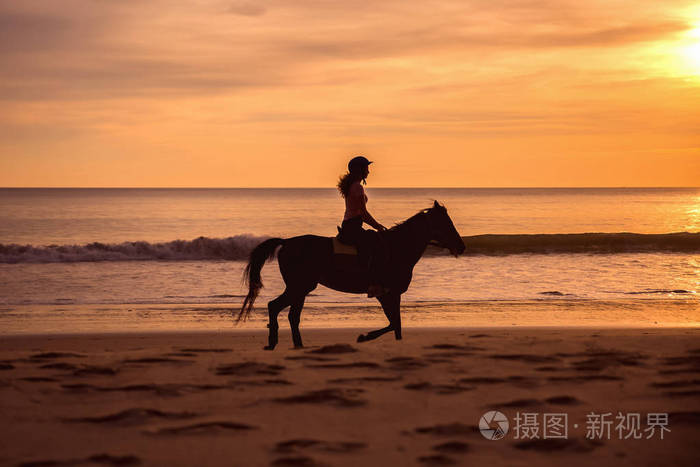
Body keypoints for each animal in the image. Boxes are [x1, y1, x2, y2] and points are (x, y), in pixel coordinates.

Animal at [237, 200, 466, 350]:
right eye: (446, 223)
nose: (462, 247)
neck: (397, 248)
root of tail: (286, 242)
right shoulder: (385, 294)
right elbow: (394, 323)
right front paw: (364, 337)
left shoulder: (393, 295)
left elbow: (397, 326)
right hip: (299, 287)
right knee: (276, 307)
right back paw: (274, 342)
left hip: (301, 289)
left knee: (291, 315)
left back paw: (295, 345)